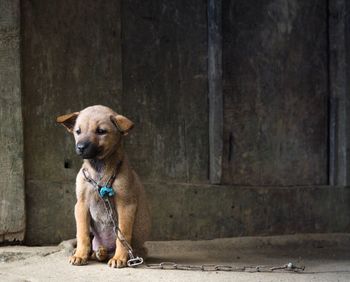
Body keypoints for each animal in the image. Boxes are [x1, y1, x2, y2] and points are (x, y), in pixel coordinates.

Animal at [56, 104, 151, 268]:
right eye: (78, 131)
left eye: (101, 131)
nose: (80, 147)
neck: (99, 168)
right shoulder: (81, 205)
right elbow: (82, 234)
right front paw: (80, 255)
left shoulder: (126, 205)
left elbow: (122, 235)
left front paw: (119, 258)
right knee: (94, 248)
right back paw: (98, 252)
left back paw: (112, 254)